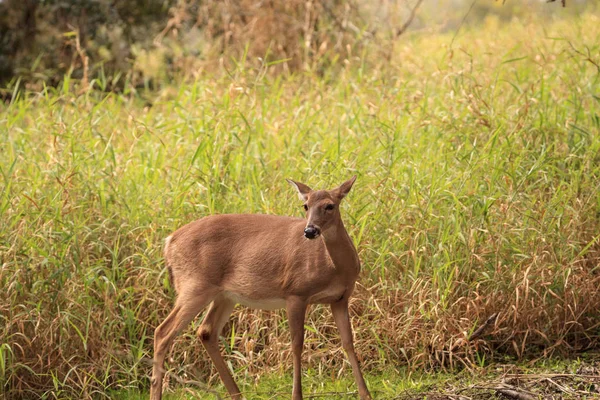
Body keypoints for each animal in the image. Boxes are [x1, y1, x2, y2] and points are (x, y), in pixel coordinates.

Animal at [150, 177, 372, 398]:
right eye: (305, 205)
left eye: (329, 206)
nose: (310, 231)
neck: (335, 268)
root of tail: (169, 241)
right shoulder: (295, 292)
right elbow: (296, 344)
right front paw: (296, 395)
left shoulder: (341, 298)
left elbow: (348, 342)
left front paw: (365, 394)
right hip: (194, 284)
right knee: (163, 332)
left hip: (224, 295)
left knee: (206, 331)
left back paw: (236, 394)